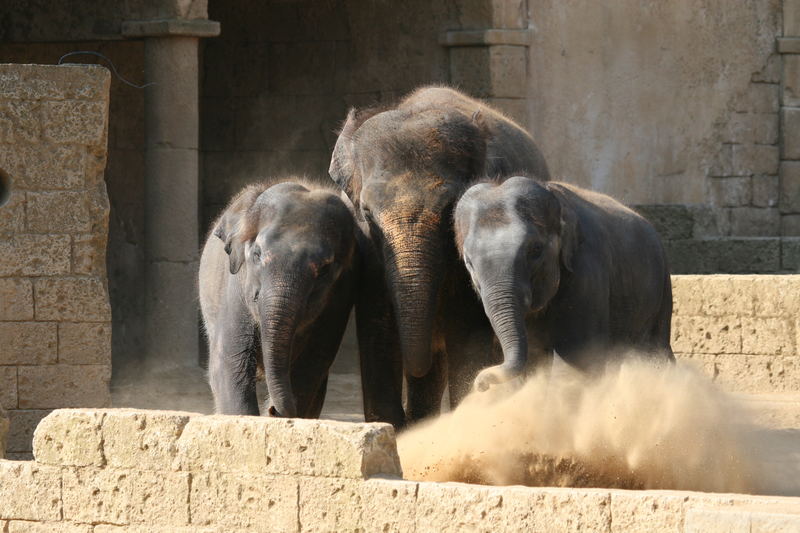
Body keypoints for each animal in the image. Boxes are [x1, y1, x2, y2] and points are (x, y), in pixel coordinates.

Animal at [198, 177, 360, 418]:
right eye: (257, 254)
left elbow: (312, 363)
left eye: (324, 269)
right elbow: (230, 362)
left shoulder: (341, 296)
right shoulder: (236, 286)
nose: (273, 409)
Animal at [456, 177, 676, 388]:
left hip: (662, 292)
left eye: (535, 250)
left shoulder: (587, 275)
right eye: (468, 261)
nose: (480, 383)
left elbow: (576, 363)